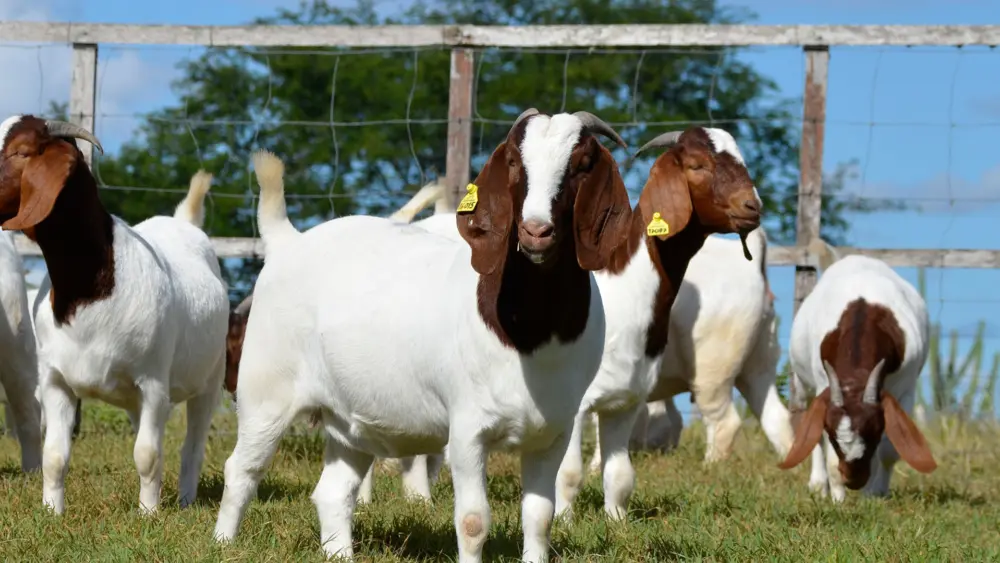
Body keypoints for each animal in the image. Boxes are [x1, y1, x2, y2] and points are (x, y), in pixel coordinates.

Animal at [0, 115, 229, 515]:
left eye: (21, 152)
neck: (89, 290)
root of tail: (182, 222)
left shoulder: (153, 383)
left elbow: (148, 454)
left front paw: (148, 515)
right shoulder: (55, 380)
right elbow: (54, 455)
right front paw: (52, 512)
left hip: (210, 379)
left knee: (192, 446)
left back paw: (185, 501)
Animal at [212, 109, 633, 562]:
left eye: (582, 164)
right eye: (513, 162)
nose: (536, 231)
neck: (531, 333)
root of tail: (288, 241)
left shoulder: (552, 431)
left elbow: (540, 516)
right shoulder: (467, 429)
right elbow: (472, 521)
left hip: (346, 419)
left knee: (333, 491)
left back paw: (340, 554)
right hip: (266, 390)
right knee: (243, 468)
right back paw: (223, 542)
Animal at [399, 126, 764, 520]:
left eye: (741, 160)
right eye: (697, 165)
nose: (752, 207)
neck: (629, 288)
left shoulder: (628, 396)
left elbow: (620, 473)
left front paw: (616, 522)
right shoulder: (575, 404)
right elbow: (569, 471)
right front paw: (562, 519)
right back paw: (416, 499)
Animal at [778, 244, 936, 502]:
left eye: (875, 433)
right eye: (833, 436)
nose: (853, 480)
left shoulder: (905, 389)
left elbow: (889, 450)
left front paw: (874, 494)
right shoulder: (823, 387)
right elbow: (825, 447)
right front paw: (837, 499)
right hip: (803, 385)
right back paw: (818, 485)